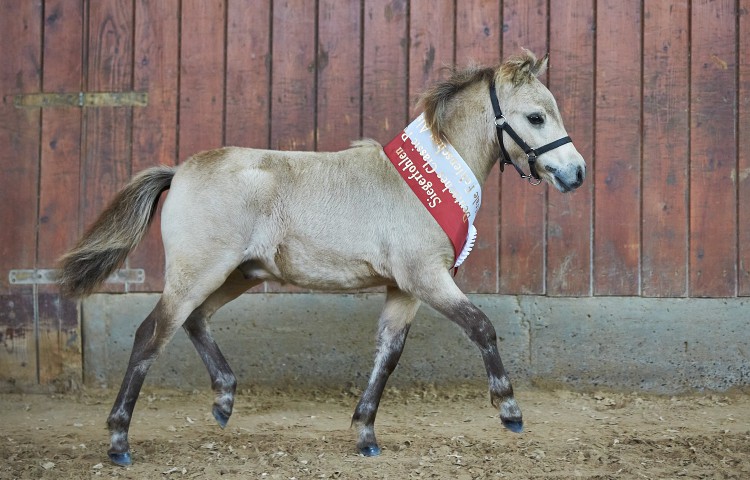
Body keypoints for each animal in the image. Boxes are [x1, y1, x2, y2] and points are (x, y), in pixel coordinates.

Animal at [58, 50, 586, 466]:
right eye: (536, 117)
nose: (575, 174)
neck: (429, 177)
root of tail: (180, 171)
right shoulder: (427, 279)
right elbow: (481, 326)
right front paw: (509, 410)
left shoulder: (404, 290)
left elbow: (388, 353)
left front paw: (365, 434)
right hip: (197, 273)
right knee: (152, 334)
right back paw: (119, 441)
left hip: (237, 275)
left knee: (195, 321)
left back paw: (224, 401)